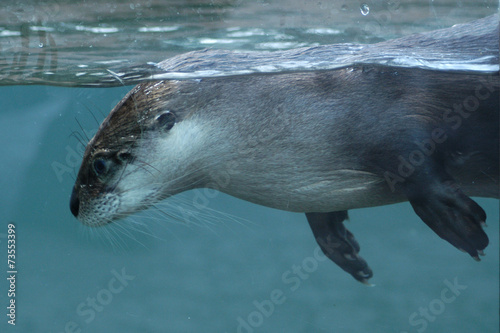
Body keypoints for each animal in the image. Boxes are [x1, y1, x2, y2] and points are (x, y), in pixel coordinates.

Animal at [68, 14, 498, 280]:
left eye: (100, 164)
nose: (72, 206)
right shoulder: (310, 185)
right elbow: (322, 217)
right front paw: (342, 248)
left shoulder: (400, 117)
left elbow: (419, 167)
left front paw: (461, 225)